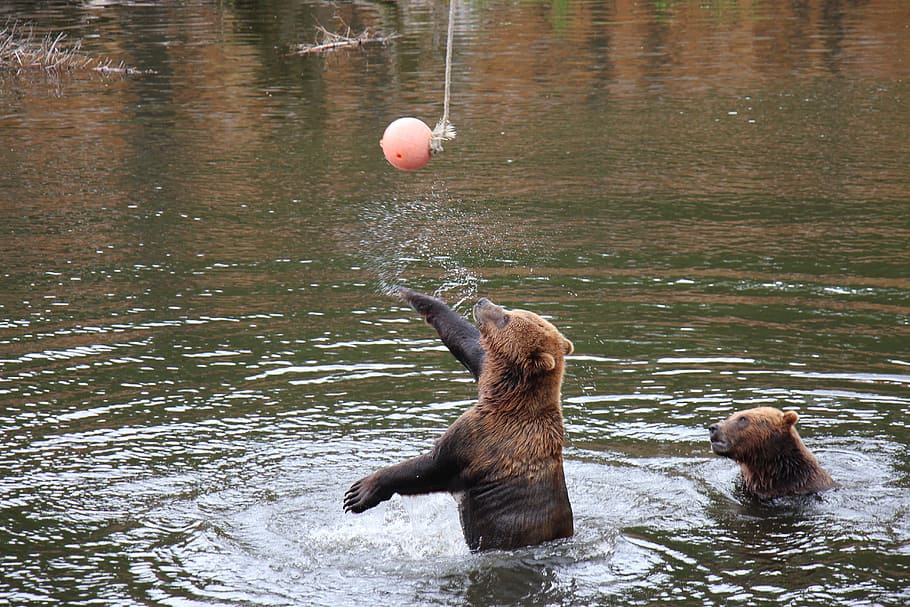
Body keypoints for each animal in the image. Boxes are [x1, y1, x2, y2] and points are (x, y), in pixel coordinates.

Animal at [344, 290, 575, 551]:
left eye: (506, 318)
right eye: (510, 311)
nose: (482, 302)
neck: (508, 397)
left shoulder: (481, 440)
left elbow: (431, 466)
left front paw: (360, 492)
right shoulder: (486, 371)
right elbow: (468, 343)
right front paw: (417, 297)